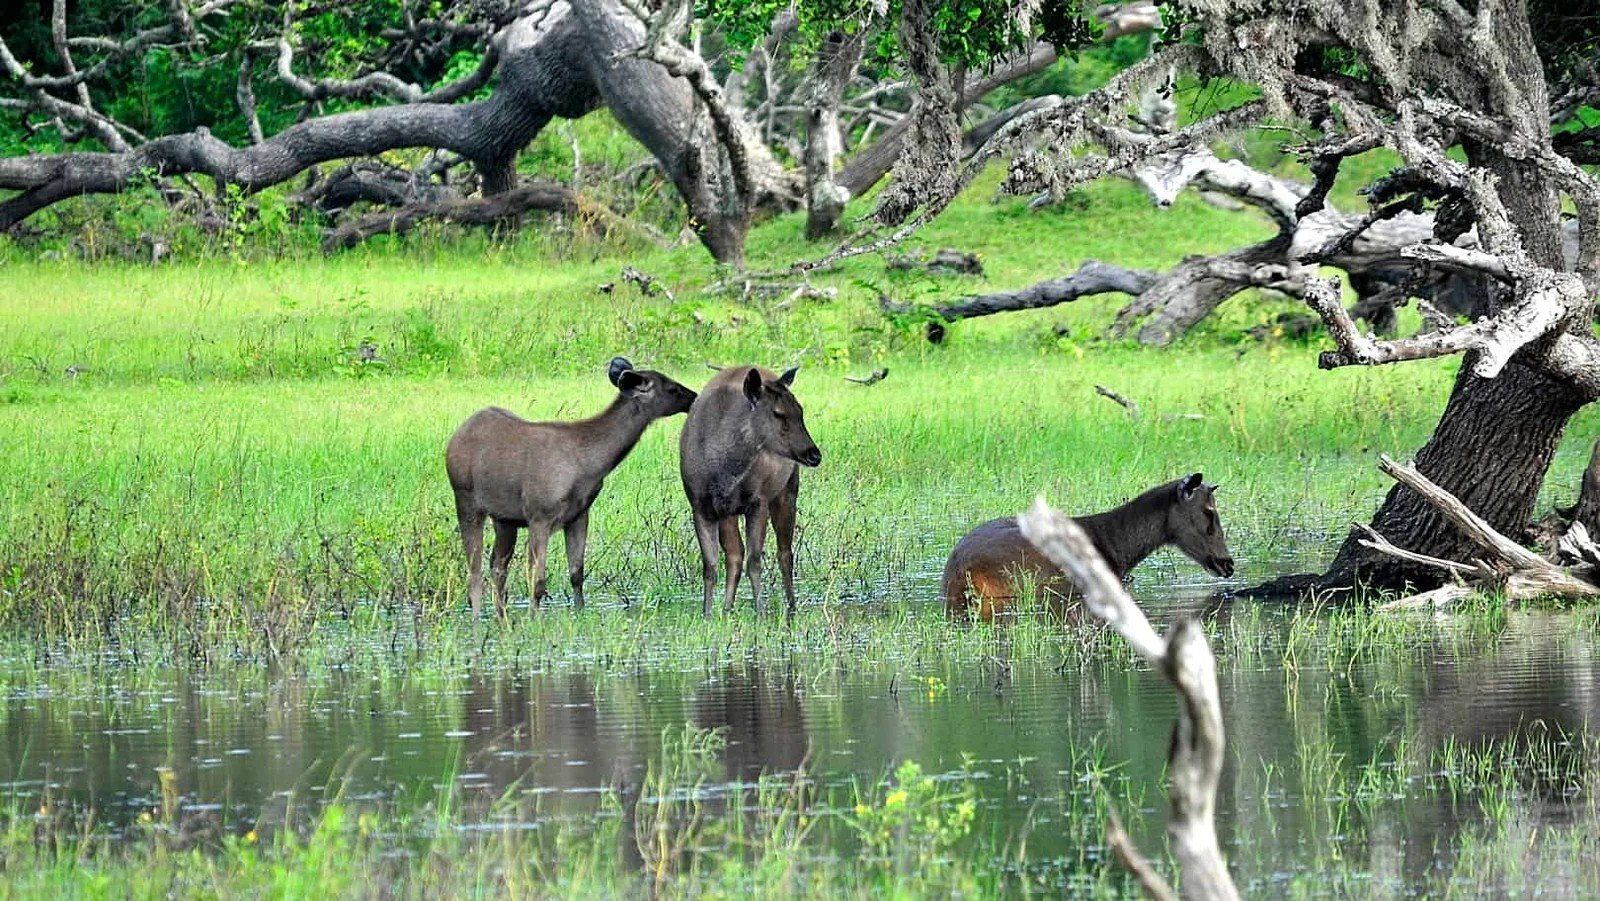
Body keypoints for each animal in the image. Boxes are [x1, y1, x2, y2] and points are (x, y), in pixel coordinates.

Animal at [445, 357, 697, 617]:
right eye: (672, 388)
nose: (695, 396)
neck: (590, 466)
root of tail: (454, 439)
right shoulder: (539, 515)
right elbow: (538, 580)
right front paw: (534, 619)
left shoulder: (578, 515)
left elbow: (577, 573)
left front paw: (579, 613)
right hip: (466, 500)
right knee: (475, 572)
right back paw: (478, 619)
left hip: (504, 518)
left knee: (497, 566)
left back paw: (502, 617)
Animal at [680, 365, 822, 618]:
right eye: (778, 413)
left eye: (800, 411)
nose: (814, 454)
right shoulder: (700, 505)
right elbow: (711, 566)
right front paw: (707, 614)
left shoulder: (759, 501)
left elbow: (754, 561)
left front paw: (761, 612)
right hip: (728, 512)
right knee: (735, 554)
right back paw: (727, 608)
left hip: (787, 490)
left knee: (784, 552)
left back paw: (791, 606)